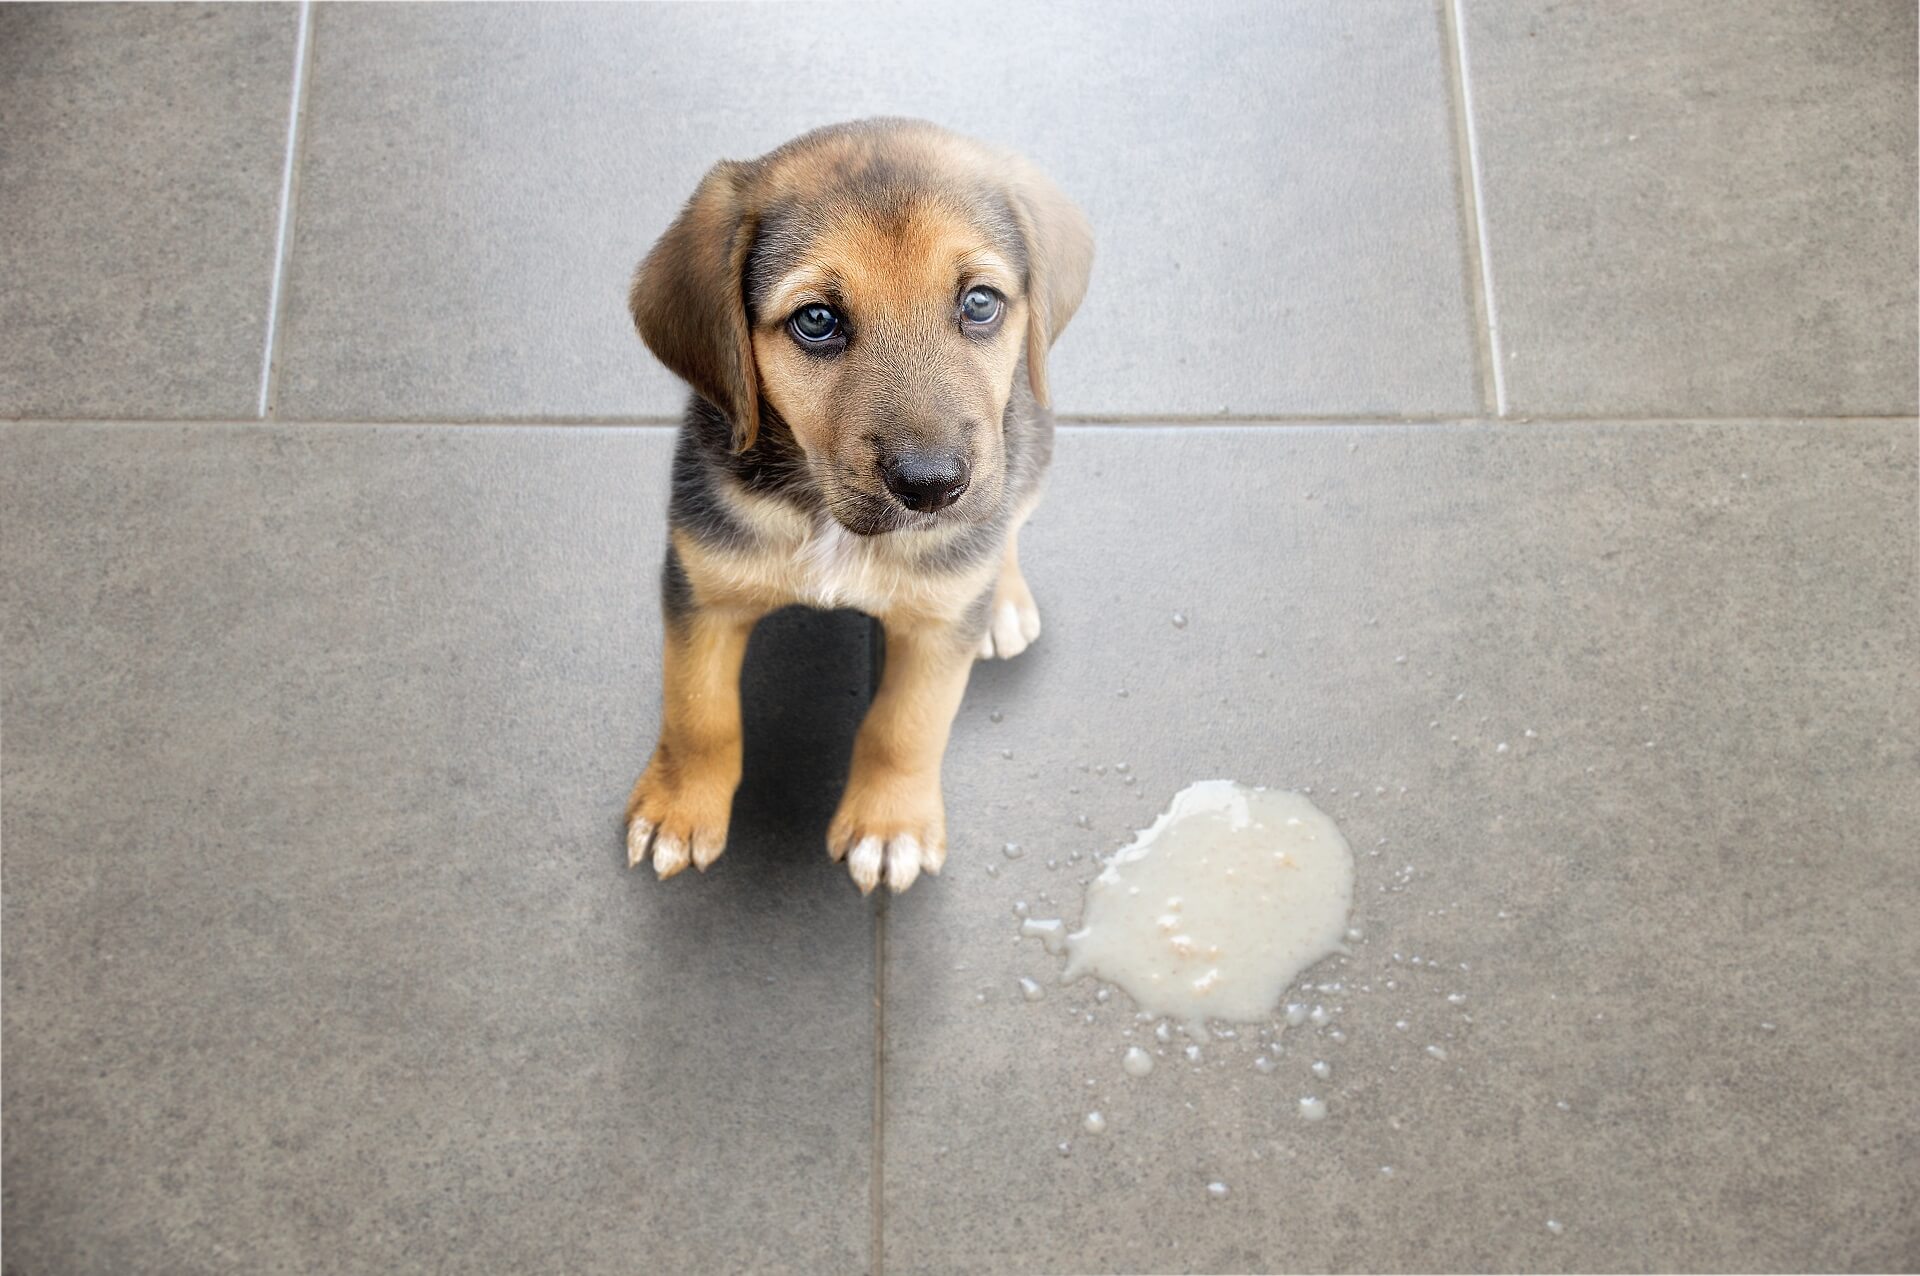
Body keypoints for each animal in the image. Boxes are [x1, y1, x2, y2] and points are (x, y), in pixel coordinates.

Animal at [622, 119, 1090, 894]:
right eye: (816, 320)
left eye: (980, 303)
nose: (932, 487)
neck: (825, 516)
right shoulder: (701, 587)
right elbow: (698, 712)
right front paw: (679, 809)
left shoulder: (937, 629)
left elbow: (906, 726)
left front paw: (889, 825)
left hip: (1029, 450)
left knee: (1009, 523)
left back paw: (1003, 601)